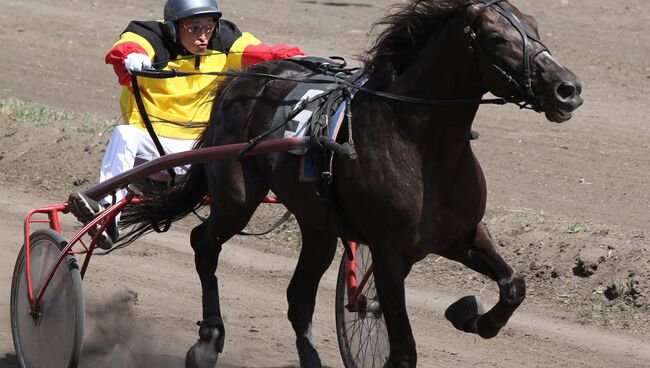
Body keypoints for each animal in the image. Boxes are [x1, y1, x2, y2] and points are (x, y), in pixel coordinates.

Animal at [119, 0, 580, 366]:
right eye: (497, 38)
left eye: (535, 27)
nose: (567, 89)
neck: (423, 148)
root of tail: (241, 82)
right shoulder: (391, 253)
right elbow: (403, 351)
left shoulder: (460, 235)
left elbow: (514, 286)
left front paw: (469, 314)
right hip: (236, 197)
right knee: (204, 243)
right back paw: (208, 339)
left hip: (318, 224)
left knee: (298, 297)